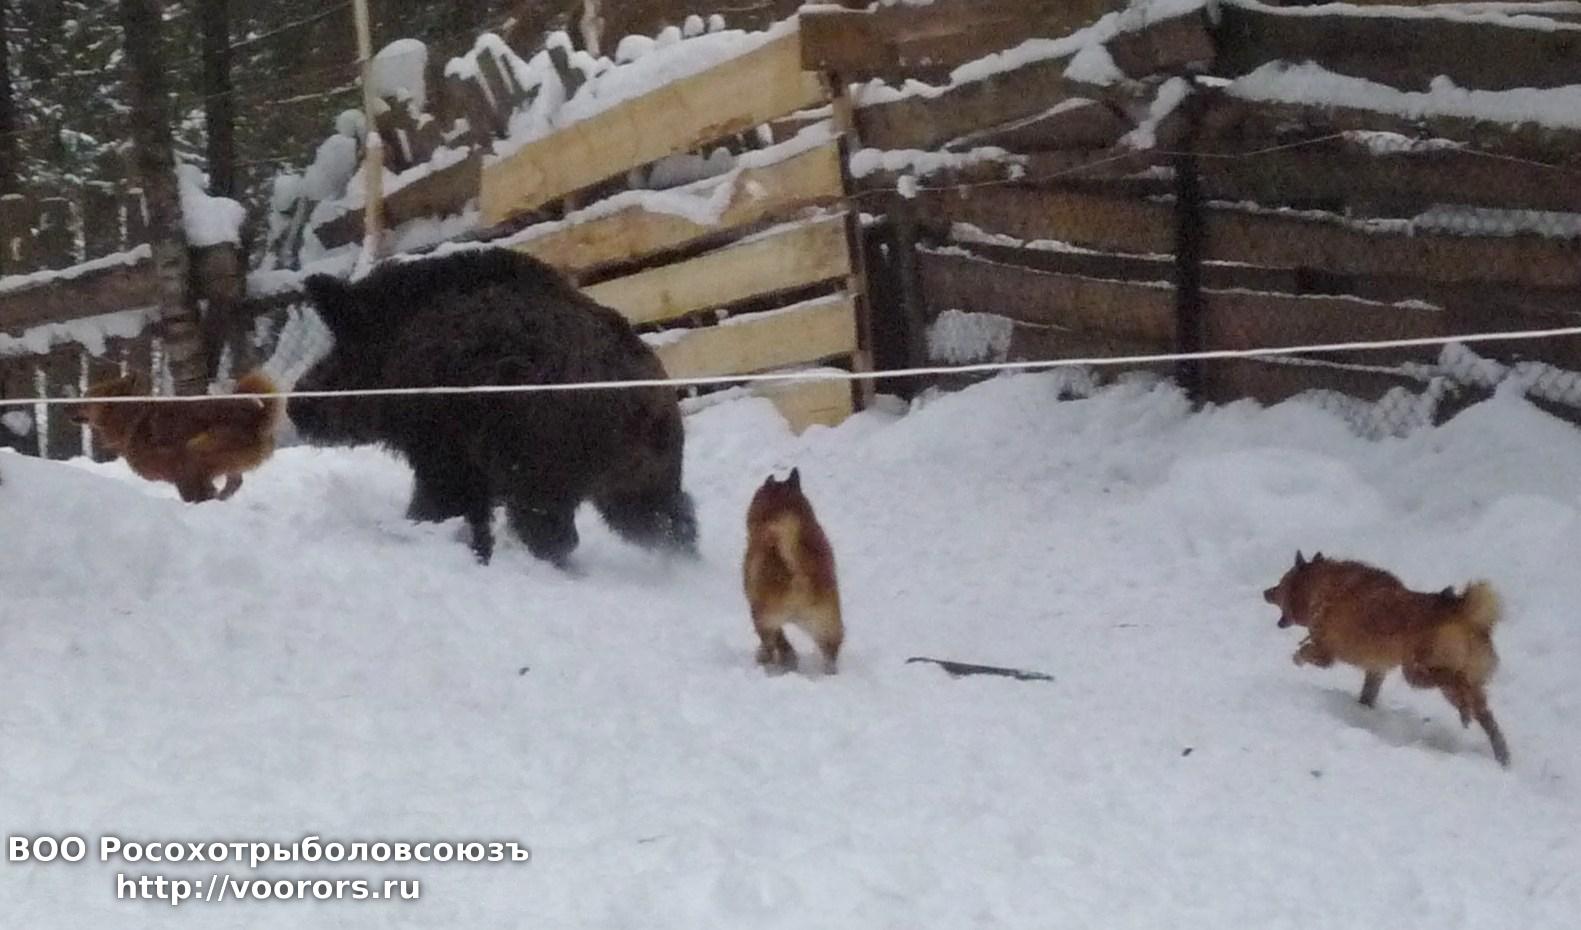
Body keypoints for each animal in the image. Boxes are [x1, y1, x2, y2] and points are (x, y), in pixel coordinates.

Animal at [72, 370, 283, 503]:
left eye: (86, 397)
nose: (67, 407)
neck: (130, 413)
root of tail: (257, 416)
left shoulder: (181, 470)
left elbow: (194, 492)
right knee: (234, 483)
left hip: (195, 448)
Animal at [743, 468, 843, 673]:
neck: (784, 510)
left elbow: (781, 640)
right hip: (828, 624)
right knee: (830, 654)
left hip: (764, 617)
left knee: (770, 646)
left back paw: (768, 663)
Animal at [1263, 551, 1509, 767]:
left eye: (1281, 583)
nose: (1265, 592)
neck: (1322, 586)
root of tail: (1464, 611)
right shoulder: (1375, 671)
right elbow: (1367, 696)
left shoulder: (1326, 654)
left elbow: (1304, 652)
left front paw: (1297, 657)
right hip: (1454, 682)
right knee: (1487, 718)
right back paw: (1502, 756)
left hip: (1416, 672)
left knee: (1456, 681)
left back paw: (1466, 714)